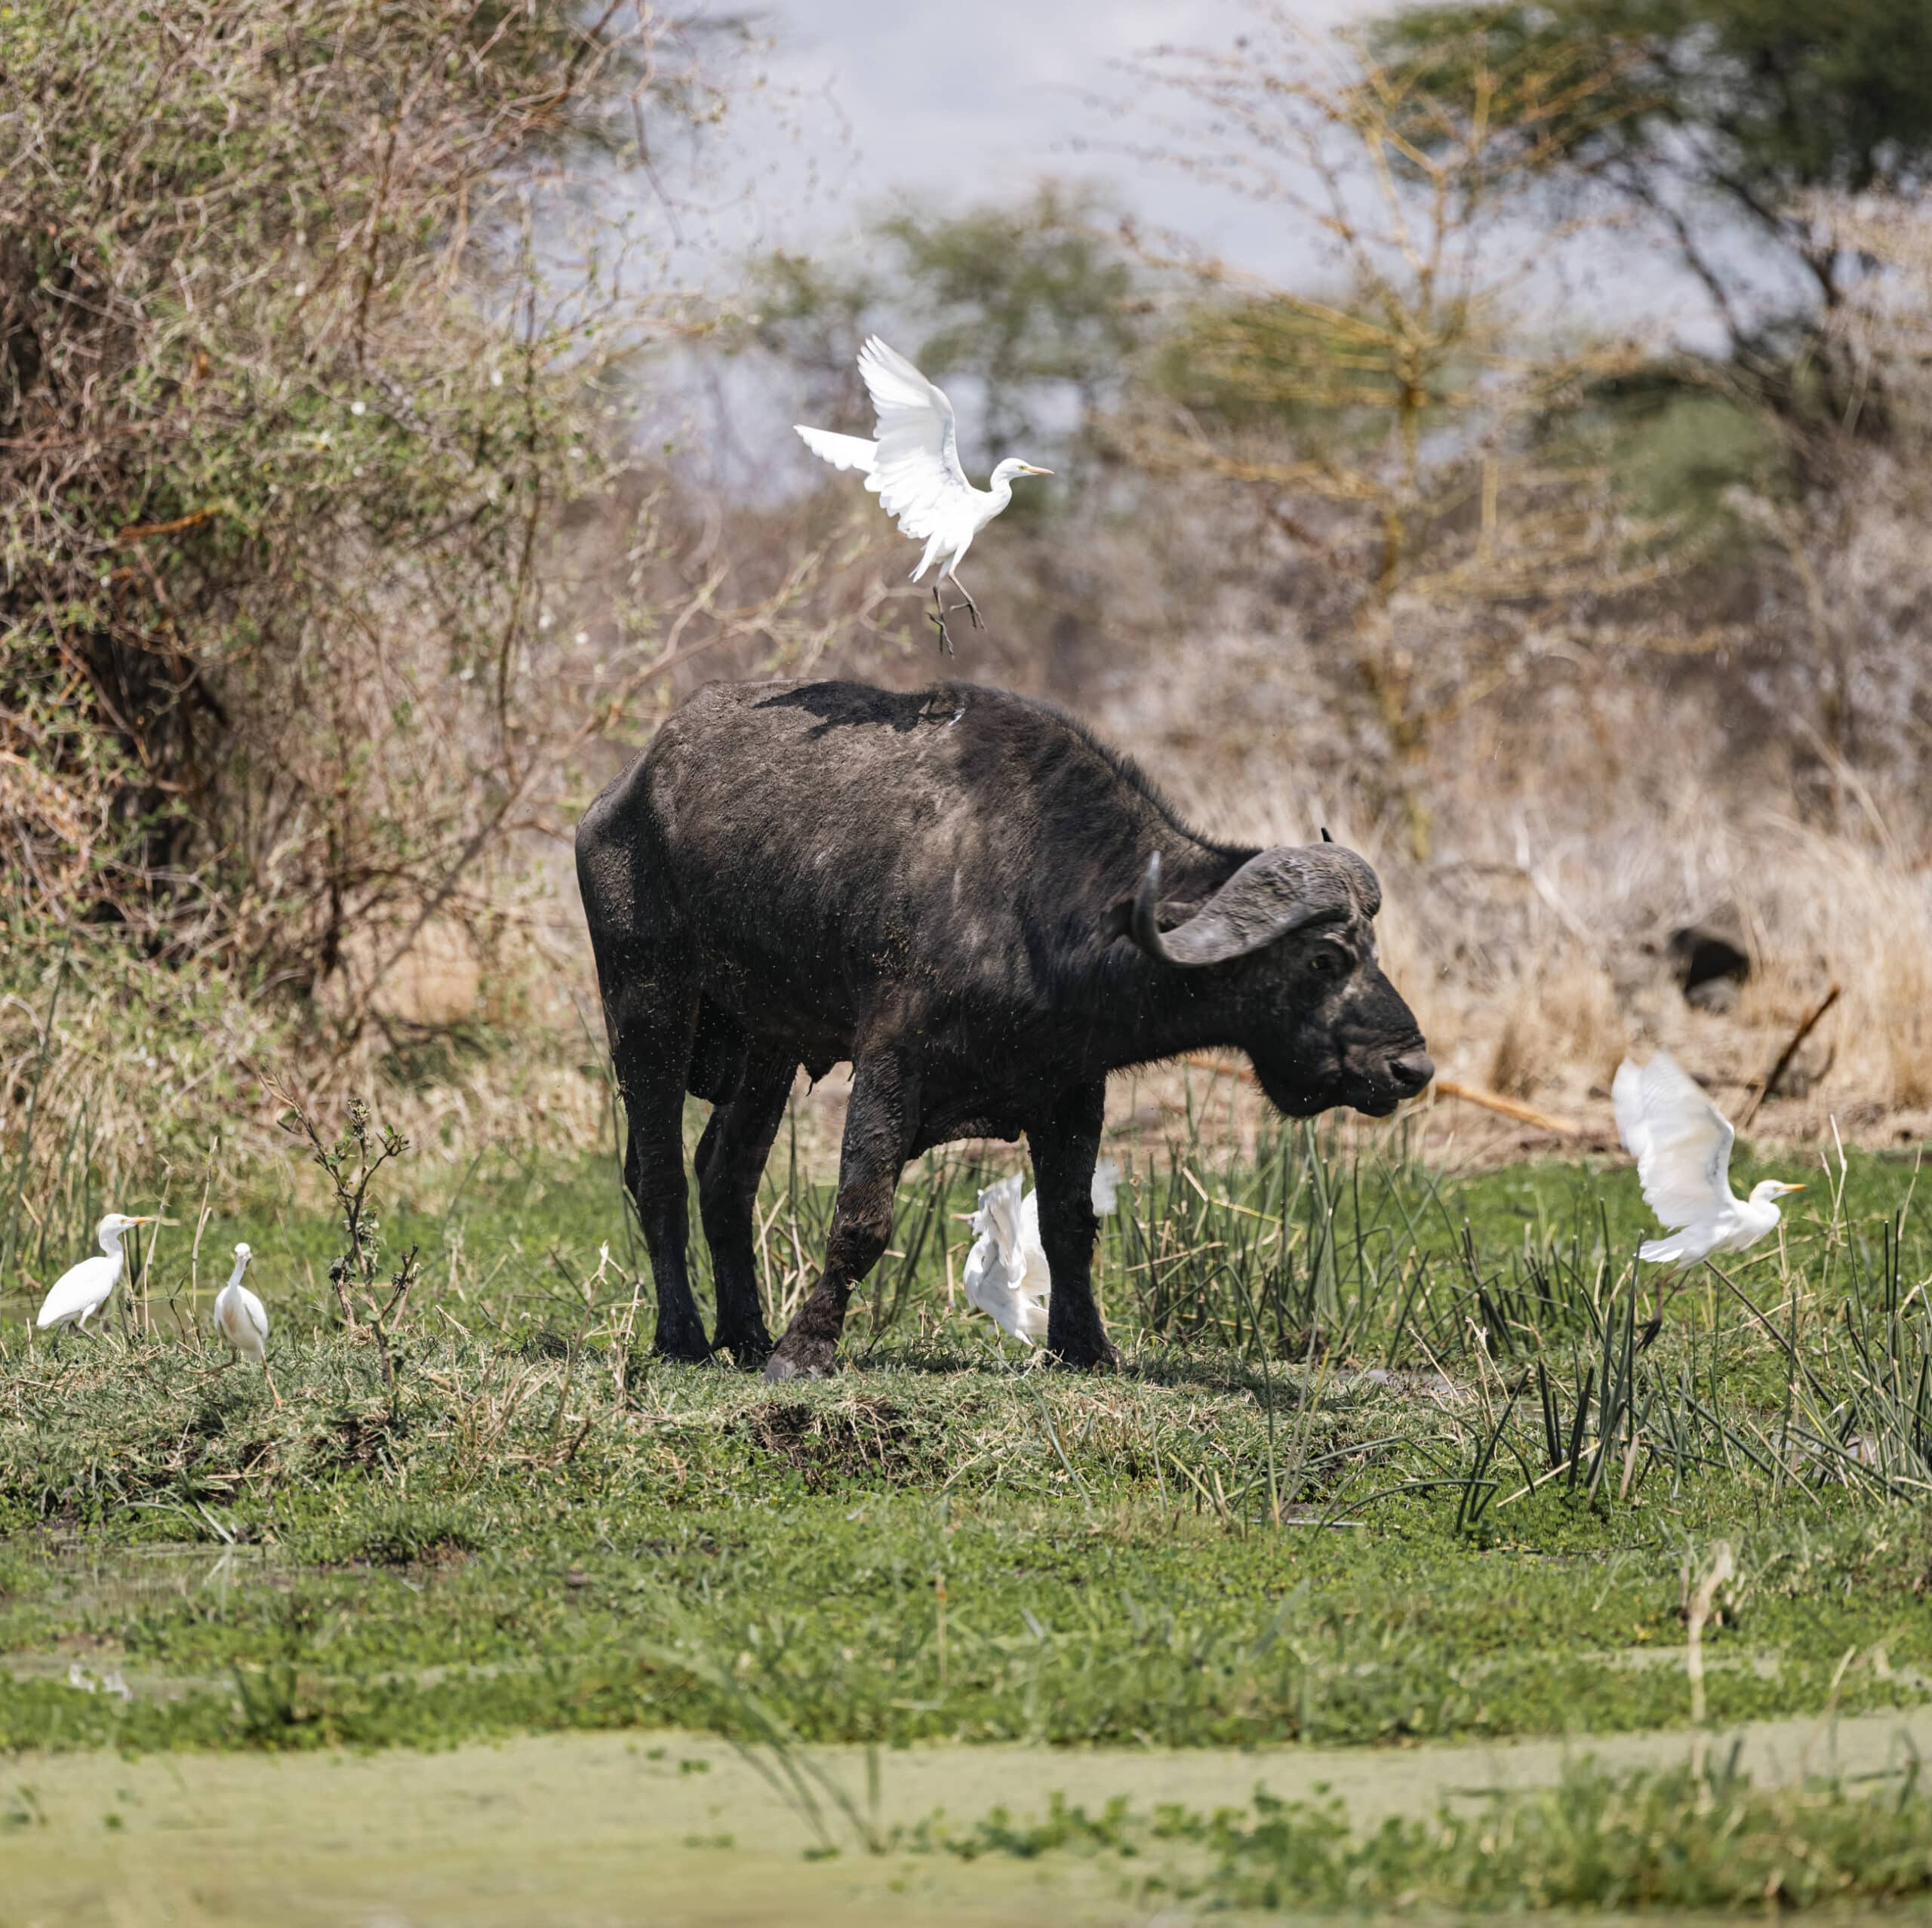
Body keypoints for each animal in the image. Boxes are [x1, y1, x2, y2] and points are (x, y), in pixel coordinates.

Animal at [571, 676, 1437, 1375]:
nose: (1411, 1069)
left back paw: (747, 1335)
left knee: (726, 1175)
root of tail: (623, 791)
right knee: (658, 1174)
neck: (1036, 900)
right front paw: (807, 1350)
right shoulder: (890, 1062)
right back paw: (684, 1335)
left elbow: (1070, 1223)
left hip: (767, 1044)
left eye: (1373, 948)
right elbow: (862, 1216)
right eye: (1324, 956)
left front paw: (1084, 1346)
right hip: (647, 999)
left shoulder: (1073, 1088)